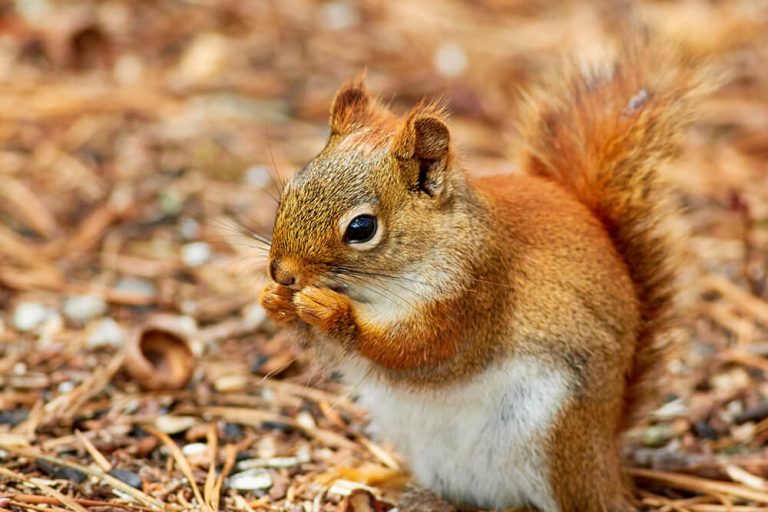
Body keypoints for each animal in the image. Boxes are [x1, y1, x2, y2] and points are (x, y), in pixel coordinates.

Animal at [260, 45, 712, 512]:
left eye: (362, 228)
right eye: (289, 190)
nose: (282, 272)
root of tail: (608, 457)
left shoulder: (474, 291)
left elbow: (416, 348)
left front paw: (333, 311)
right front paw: (274, 300)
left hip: (554, 437)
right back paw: (369, 475)